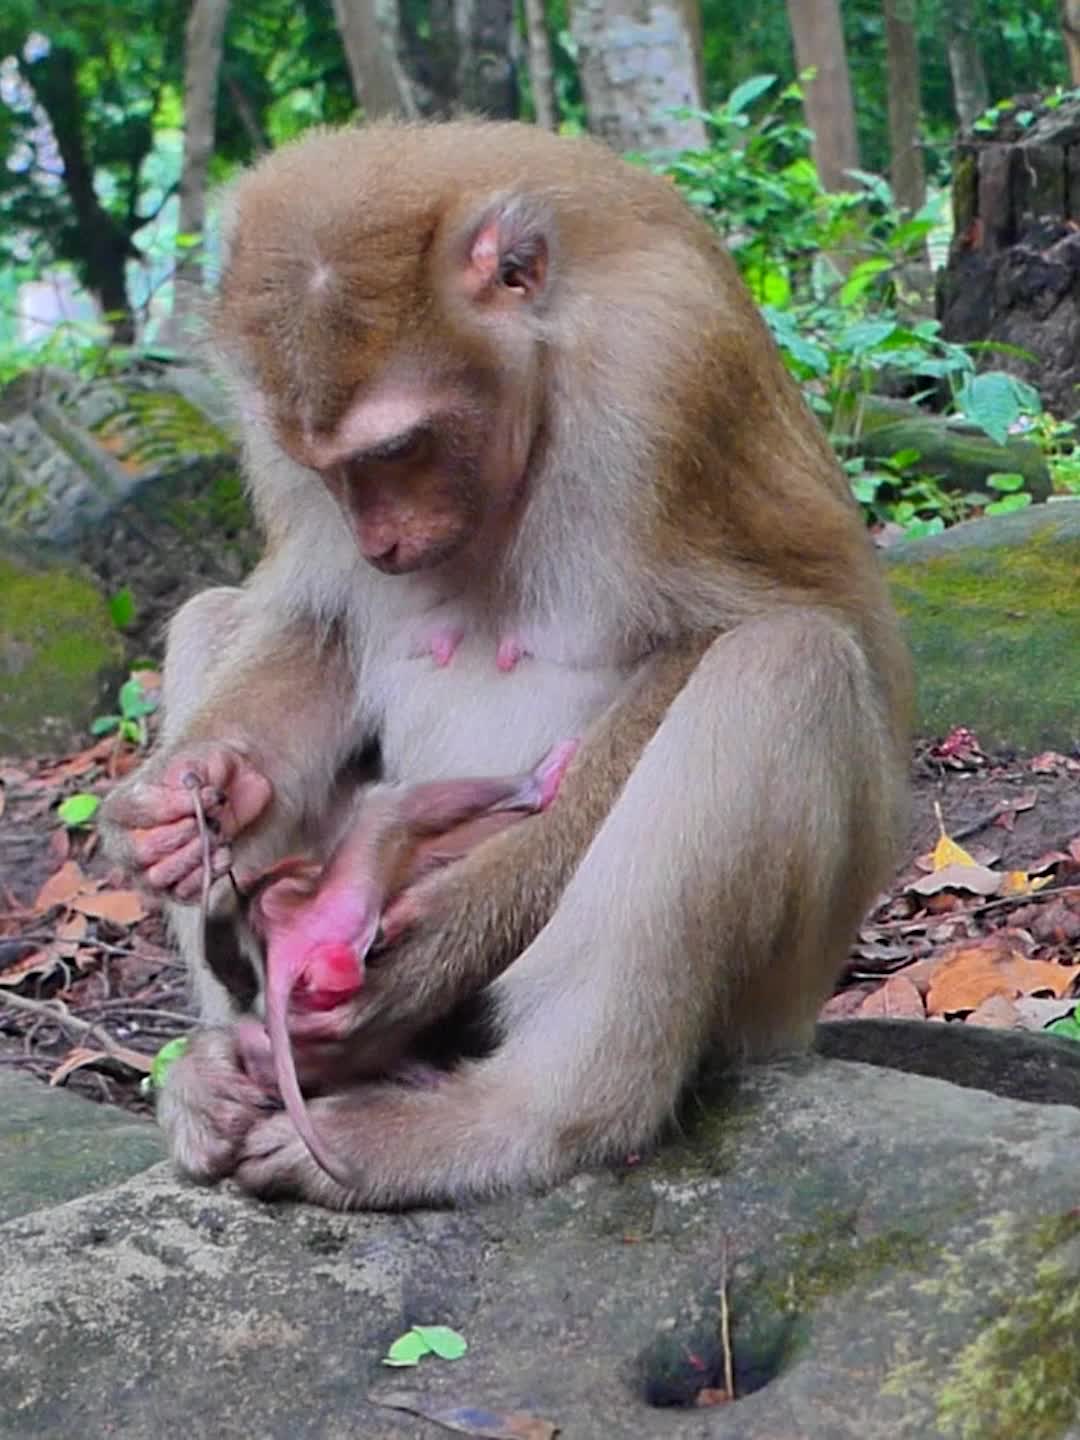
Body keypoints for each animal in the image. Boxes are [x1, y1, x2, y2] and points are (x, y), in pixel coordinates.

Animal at [101, 118, 912, 1211]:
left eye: (397, 446)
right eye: (325, 467)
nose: (380, 541)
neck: (546, 369)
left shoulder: (666, 374)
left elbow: (728, 632)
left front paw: (440, 939)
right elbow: (320, 623)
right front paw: (195, 802)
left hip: (784, 986)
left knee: (784, 664)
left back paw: (515, 1120)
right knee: (211, 614)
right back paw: (228, 1070)